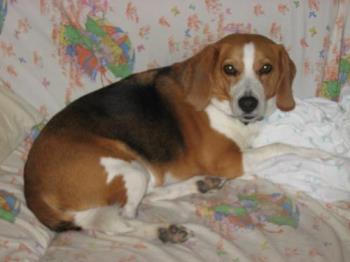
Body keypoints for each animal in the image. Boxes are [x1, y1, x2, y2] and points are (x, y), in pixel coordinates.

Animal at [23, 34, 328, 244]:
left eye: (266, 68)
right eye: (229, 69)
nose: (248, 103)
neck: (218, 101)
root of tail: (31, 187)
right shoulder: (229, 160)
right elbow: (282, 146)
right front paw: (325, 156)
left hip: (140, 171)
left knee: (146, 197)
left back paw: (200, 184)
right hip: (129, 169)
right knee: (118, 221)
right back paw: (163, 230)